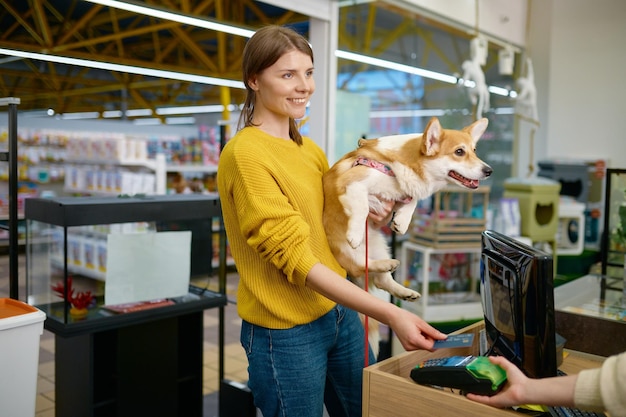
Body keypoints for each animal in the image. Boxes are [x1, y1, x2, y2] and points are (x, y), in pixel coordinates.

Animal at [322, 115, 492, 310]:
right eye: (459, 152)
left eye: (474, 150)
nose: (489, 171)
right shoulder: (352, 183)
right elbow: (362, 207)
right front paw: (355, 235)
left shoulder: (402, 194)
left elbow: (412, 200)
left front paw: (401, 222)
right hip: (347, 251)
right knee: (359, 266)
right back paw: (385, 263)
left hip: (380, 246)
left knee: (381, 280)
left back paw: (403, 288)